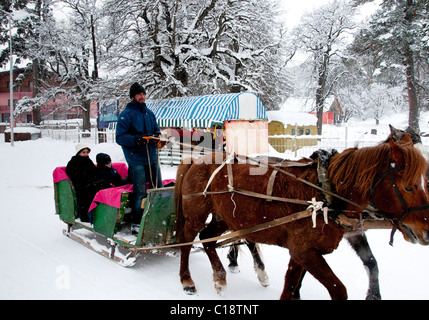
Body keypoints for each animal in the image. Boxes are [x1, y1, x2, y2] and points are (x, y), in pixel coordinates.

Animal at [173, 135, 428, 300]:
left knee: (208, 238)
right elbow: (338, 290)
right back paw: (187, 280)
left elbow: (291, 288)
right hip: (197, 213)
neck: (324, 193)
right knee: (187, 241)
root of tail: (195, 160)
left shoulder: (303, 252)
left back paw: (221, 278)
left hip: (226, 218)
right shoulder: (304, 251)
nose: (426, 230)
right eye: (408, 187)